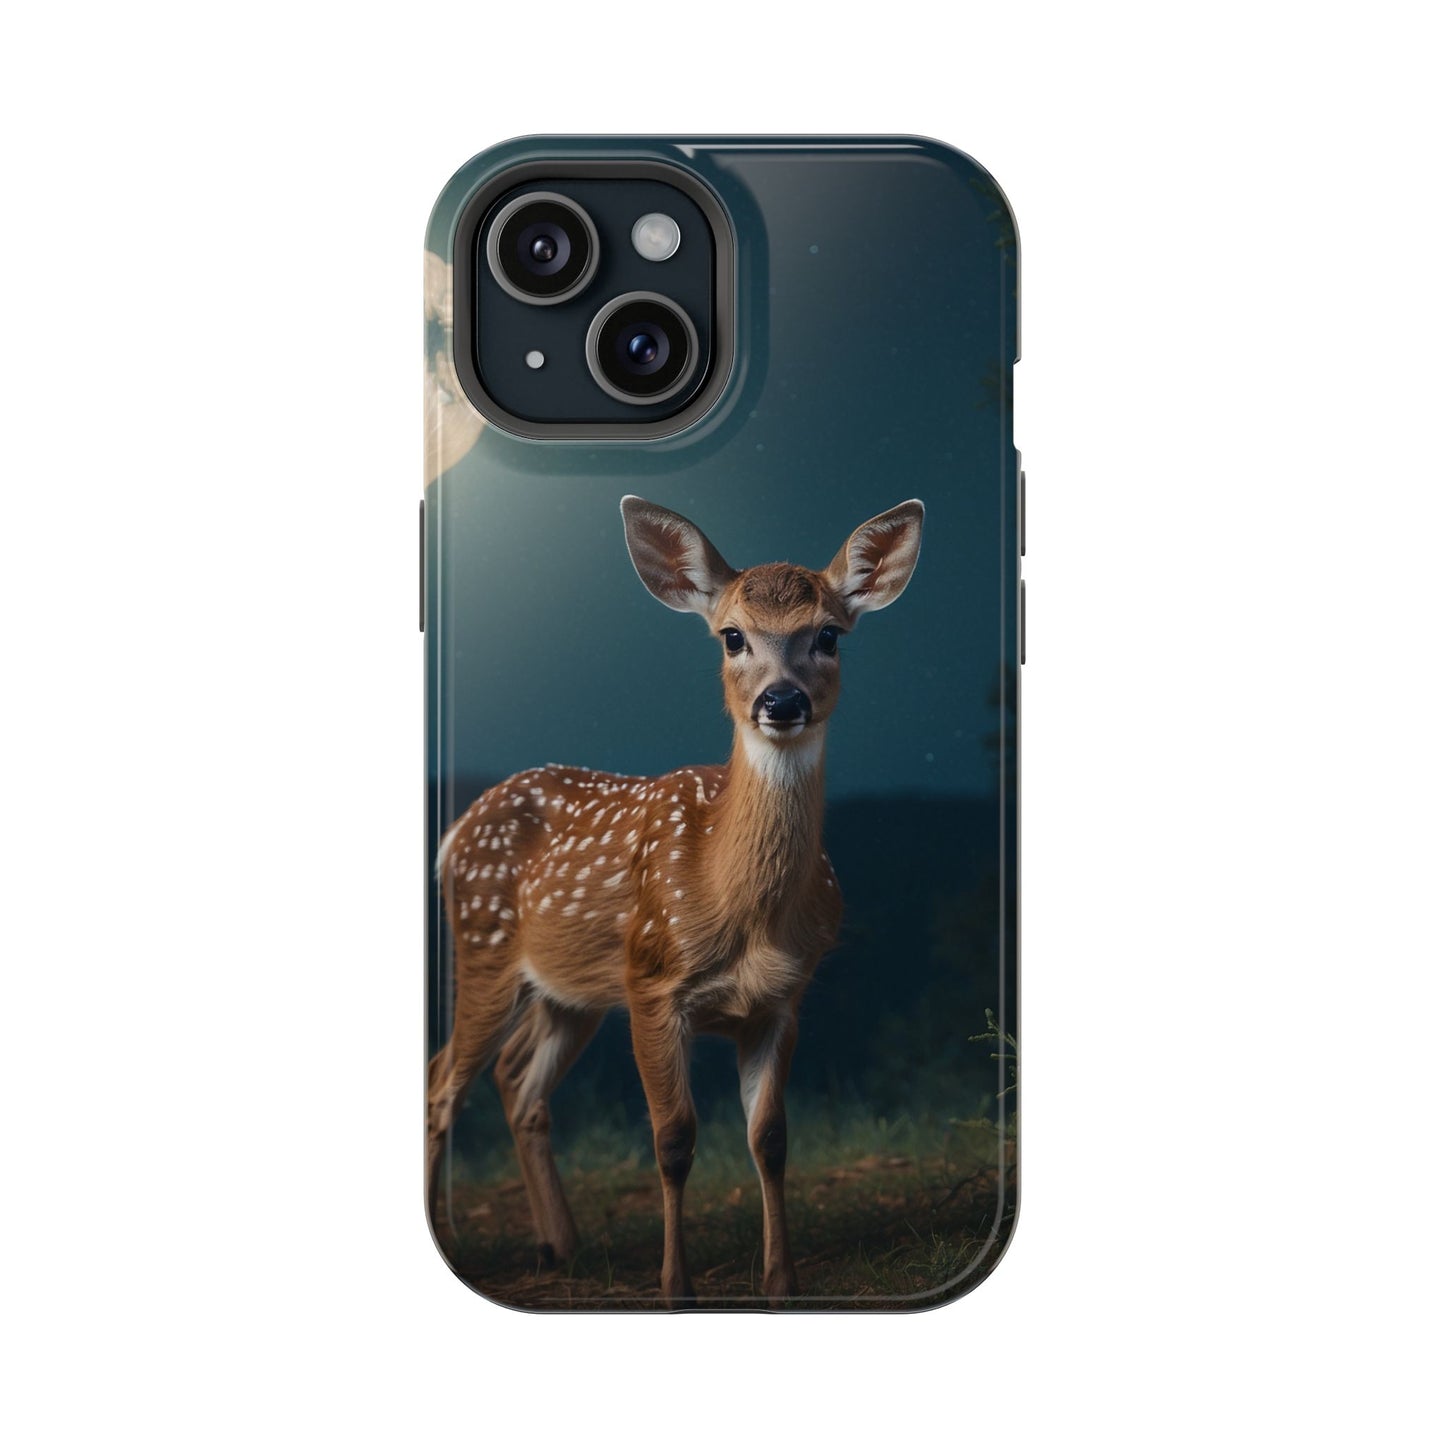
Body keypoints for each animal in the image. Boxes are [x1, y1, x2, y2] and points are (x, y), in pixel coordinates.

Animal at [427, 494, 924, 1306]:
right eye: (731, 636)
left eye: (828, 635)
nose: (780, 700)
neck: (740, 908)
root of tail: (457, 830)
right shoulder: (654, 984)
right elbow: (672, 1138)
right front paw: (675, 1286)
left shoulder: (782, 999)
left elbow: (770, 1138)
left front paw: (780, 1283)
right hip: (486, 949)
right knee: (444, 1080)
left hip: (572, 990)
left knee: (516, 1080)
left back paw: (559, 1246)